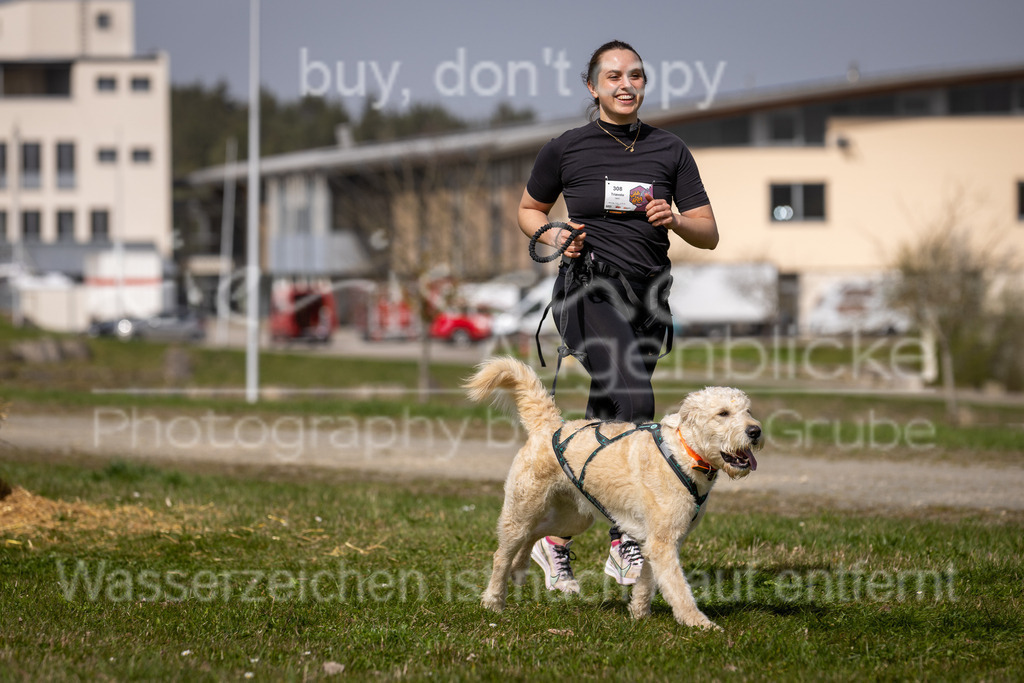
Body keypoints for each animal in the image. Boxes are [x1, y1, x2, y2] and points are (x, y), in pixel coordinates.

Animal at [464, 358, 761, 630]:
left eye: (747, 410)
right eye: (723, 413)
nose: (756, 430)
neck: (685, 454)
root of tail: (549, 425)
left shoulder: (659, 541)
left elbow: (647, 581)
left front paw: (639, 612)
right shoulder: (663, 543)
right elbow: (679, 589)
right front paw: (699, 623)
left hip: (574, 518)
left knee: (537, 534)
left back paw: (519, 568)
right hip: (521, 511)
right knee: (502, 554)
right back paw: (493, 600)